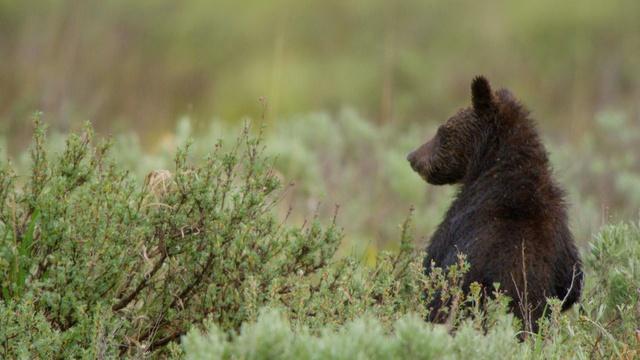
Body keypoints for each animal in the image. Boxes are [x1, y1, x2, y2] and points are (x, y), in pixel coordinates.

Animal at [408, 76, 584, 332]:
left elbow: (432, 264)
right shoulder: (563, 243)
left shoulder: (458, 223)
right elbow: (572, 284)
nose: (412, 157)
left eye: (442, 130)